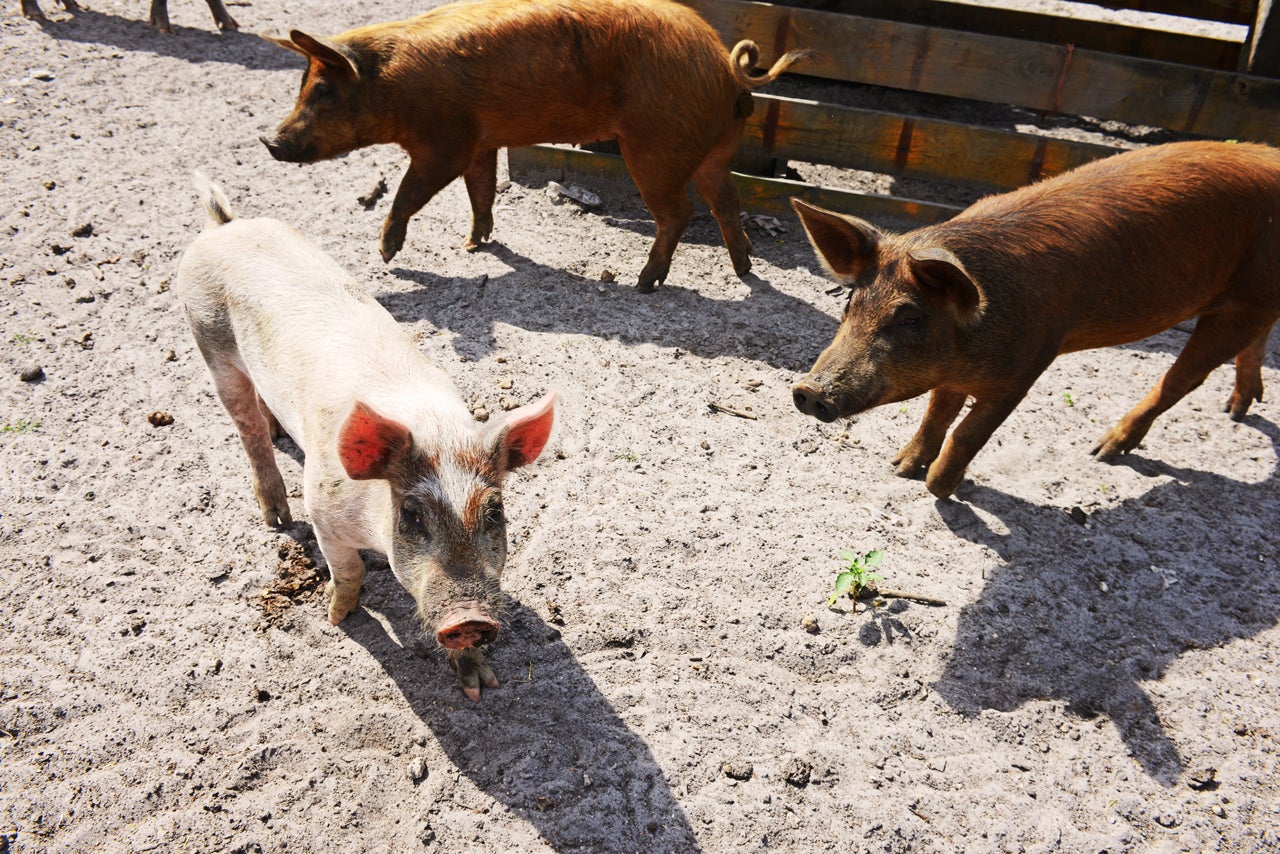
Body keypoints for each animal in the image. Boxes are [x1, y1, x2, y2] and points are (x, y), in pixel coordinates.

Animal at [175, 174, 557, 700]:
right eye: (411, 516)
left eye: (495, 513)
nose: (470, 618)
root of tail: (222, 227)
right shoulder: (323, 509)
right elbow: (350, 572)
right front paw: (336, 618)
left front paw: (479, 686)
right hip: (207, 339)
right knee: (246, 426)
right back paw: (276, 518)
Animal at [259, 0, 808, 292]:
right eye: (301, 85)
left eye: (323, 90)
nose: (269, 139)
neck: (393, 86)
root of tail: (724, 63)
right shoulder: (481, 142)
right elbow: (481, 190)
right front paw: (474, 244)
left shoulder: (445, 141)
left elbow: (409, 191)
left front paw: (386, 255)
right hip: (715, 150)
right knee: (726, 200)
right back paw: (745, 266)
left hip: (654, 148)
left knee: (680, 211)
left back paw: (643, 282)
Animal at [790, 140, 1280, 499]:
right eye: (850, 302)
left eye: (910, 317)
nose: (809, 390)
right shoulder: (952, 373)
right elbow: (936, 413)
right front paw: (899, 468)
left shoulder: (1027, 366)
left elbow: (968, 433)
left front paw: (941, 490)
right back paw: (1237, 409)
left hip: (1242, 303)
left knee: (1183, 379)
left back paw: (1103, 452)